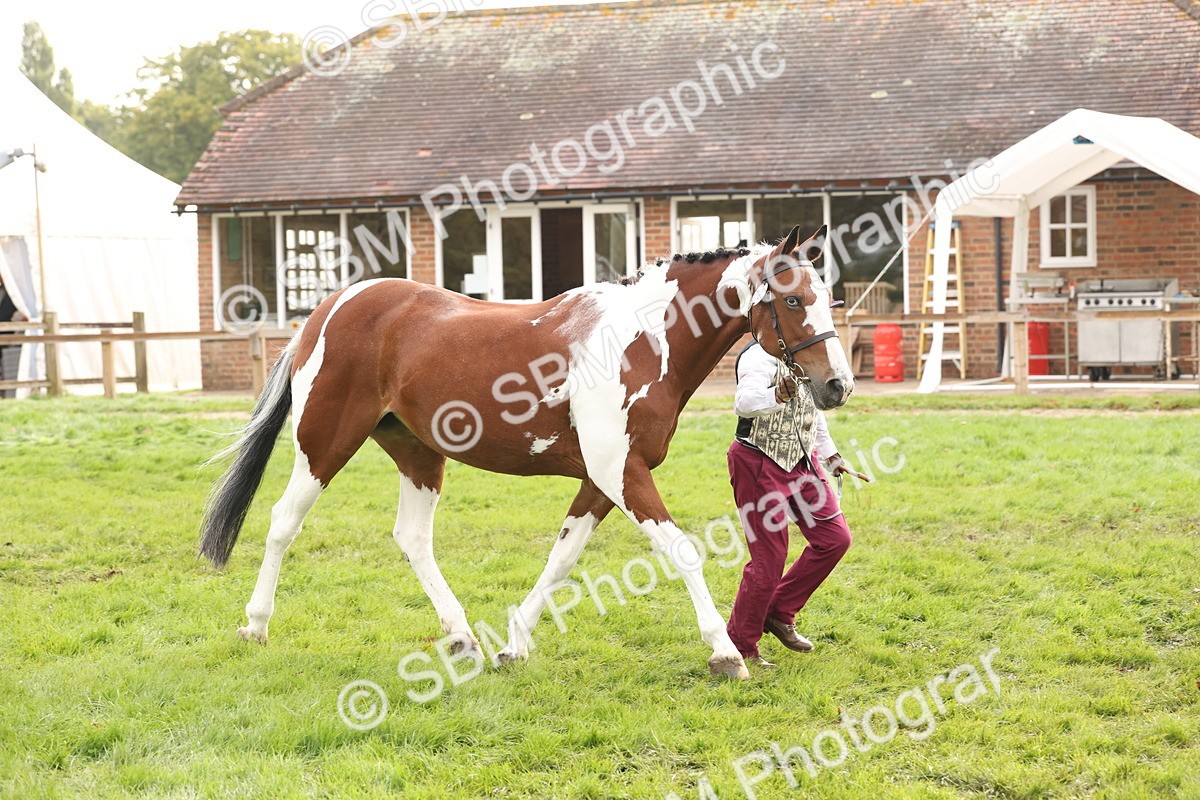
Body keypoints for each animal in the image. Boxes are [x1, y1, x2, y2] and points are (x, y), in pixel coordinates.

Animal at [199, 224, 854, 680]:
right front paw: (724, 653)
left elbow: (562, 559)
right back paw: (255, 625)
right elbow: (682, 552)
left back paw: (462, 637)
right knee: (283, 521)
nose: (837, 386)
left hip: (418, 454)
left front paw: (514, 645)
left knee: (412, 537)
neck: (642, 340)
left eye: (829, 299)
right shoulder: (621, 473)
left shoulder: (604, 479)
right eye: (793, 302)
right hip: (324, 442)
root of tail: (328, 309)